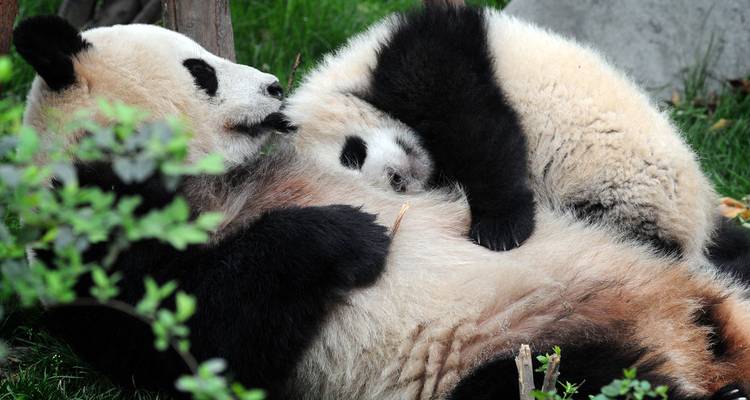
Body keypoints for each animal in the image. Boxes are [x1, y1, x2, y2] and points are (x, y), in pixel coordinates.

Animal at [287, 5, 718, 262]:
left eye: (352, 154)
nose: (397, 178)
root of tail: (695, 229)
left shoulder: (425, 56)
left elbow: (481, 132)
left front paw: (500, 230)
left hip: (636, 187)